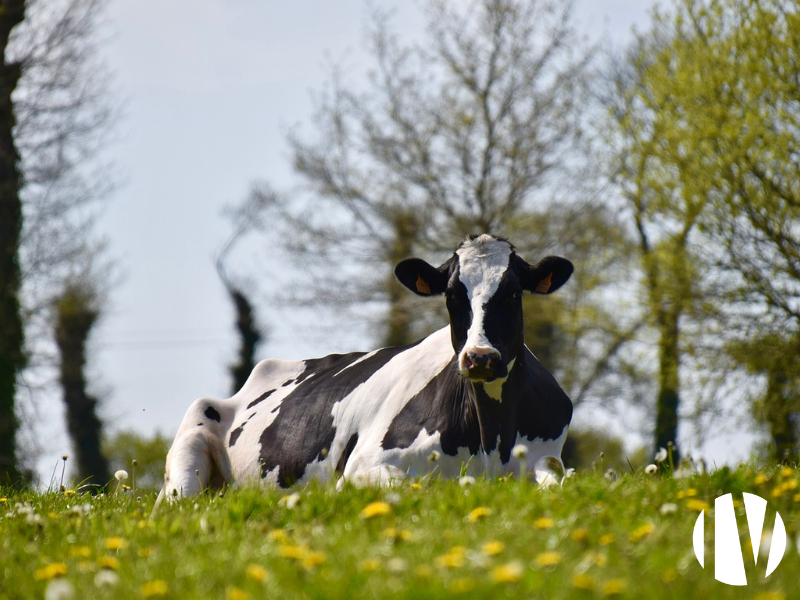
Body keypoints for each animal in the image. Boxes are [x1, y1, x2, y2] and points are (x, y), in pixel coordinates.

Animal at [156, 234, 572, 502]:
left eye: (513, 293)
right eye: (453, 295)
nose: (480, 357)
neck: (491, 438)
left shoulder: (547, 456)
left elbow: (560, 481)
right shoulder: (363, 466)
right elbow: (415, 487)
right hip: (187, 455)